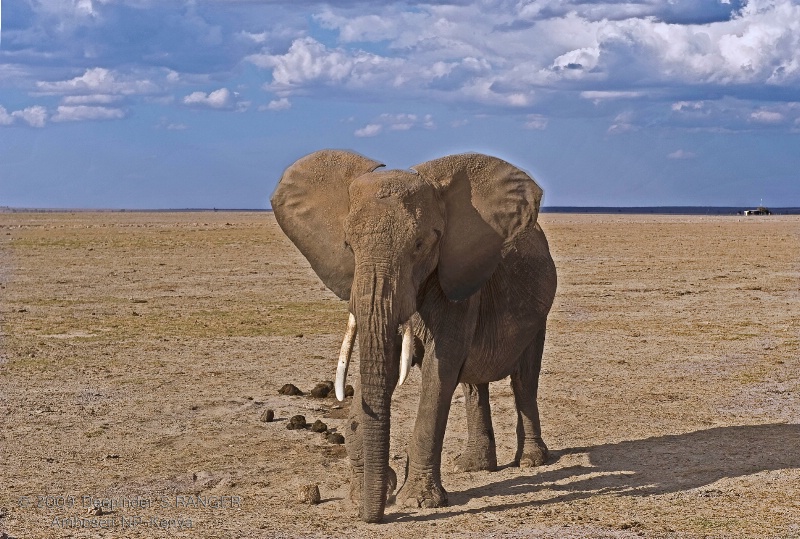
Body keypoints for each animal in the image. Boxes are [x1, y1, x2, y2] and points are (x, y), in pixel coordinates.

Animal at [270, 149, 556, 524]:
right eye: (348, 245)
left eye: (420, 245)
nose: (374, 513)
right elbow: (388, 366)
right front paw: (363, 494)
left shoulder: (455, 278)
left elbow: (440, 368)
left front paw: (418, 502)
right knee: (473, 385)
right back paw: (473, 467)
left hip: (539, 313)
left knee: (523, 379)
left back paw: (531, 461)